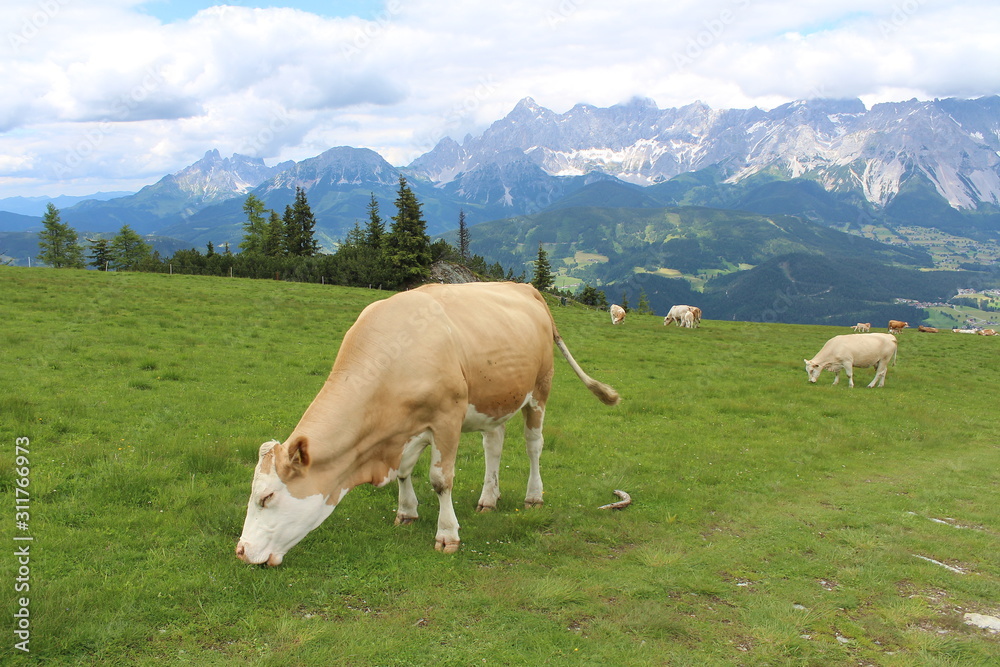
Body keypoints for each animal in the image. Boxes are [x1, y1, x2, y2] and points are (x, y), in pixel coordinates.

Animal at [236, 282, 620, 566]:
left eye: (267, 497)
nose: (241, 552)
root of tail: (526, 287)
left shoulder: (447, 418)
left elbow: (440, 479)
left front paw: (447, 535)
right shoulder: (407, 429)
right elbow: (406, 471)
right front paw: (406, 512)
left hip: (540, 388)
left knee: (533, 445)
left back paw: (533, 496)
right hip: (494, 398)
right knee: (493, 444)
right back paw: (488, 498)